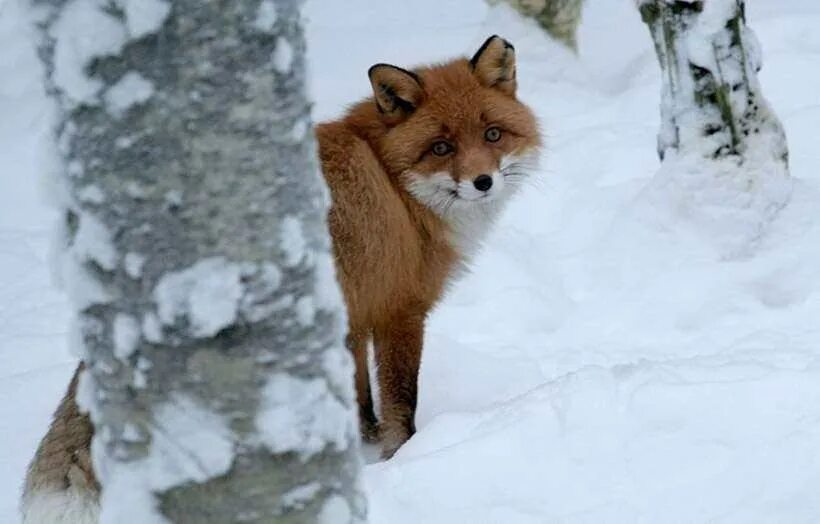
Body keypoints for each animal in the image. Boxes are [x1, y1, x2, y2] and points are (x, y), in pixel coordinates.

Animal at [20, 35, 541, 522]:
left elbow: (359, 395)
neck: (396, 188)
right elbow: (401, 400)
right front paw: (400, 456)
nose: (482, 182)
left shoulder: (352, 316)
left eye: (493, 134)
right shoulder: (399, 310)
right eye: (441, 148)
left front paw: (363, 442)